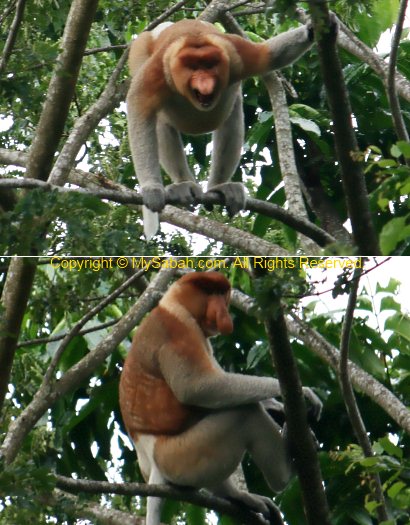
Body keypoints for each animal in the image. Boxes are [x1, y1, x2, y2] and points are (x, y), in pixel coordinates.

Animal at [117, 272, 322, 520]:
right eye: (209, 293)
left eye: (222, 295)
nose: (223, 312)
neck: (175, 305)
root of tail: (152, 465)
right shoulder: (177, 329)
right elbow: (197, 387)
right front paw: (305, 393)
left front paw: (275, 406)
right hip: (180, 456)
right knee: (244, 414)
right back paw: (285, 470)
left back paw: (238, 496)